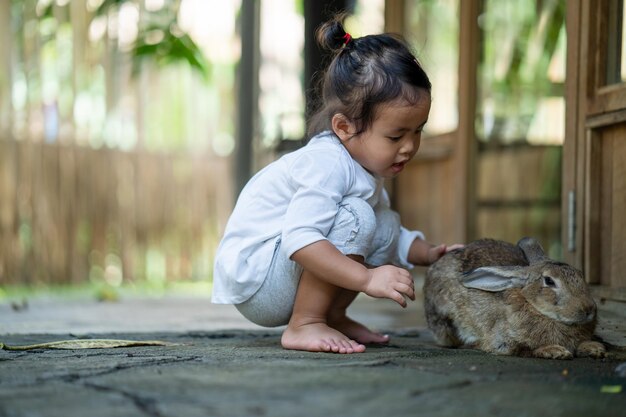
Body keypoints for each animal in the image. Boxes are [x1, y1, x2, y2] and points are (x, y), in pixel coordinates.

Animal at [422, 236, 604, 360]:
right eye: (549, 281)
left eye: (580, 274)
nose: (588, 309)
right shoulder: (504, 343)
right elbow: (525, 349)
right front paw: (555, 351)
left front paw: (595, 348)